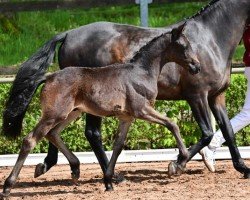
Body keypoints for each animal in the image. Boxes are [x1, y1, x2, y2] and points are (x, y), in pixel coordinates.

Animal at [0, 23, 200, 197]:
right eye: (183, 45)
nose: (196, 66)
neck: (141, 72)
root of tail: (49, 77)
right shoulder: (142, 110)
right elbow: (172, 124)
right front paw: (179, 162)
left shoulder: (126, 118)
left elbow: (118, 146)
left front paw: (109, 181)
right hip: (54, 114)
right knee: (30, 140)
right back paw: (8, 186)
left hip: (72, 112)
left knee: (53, 134)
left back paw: (75, 168)